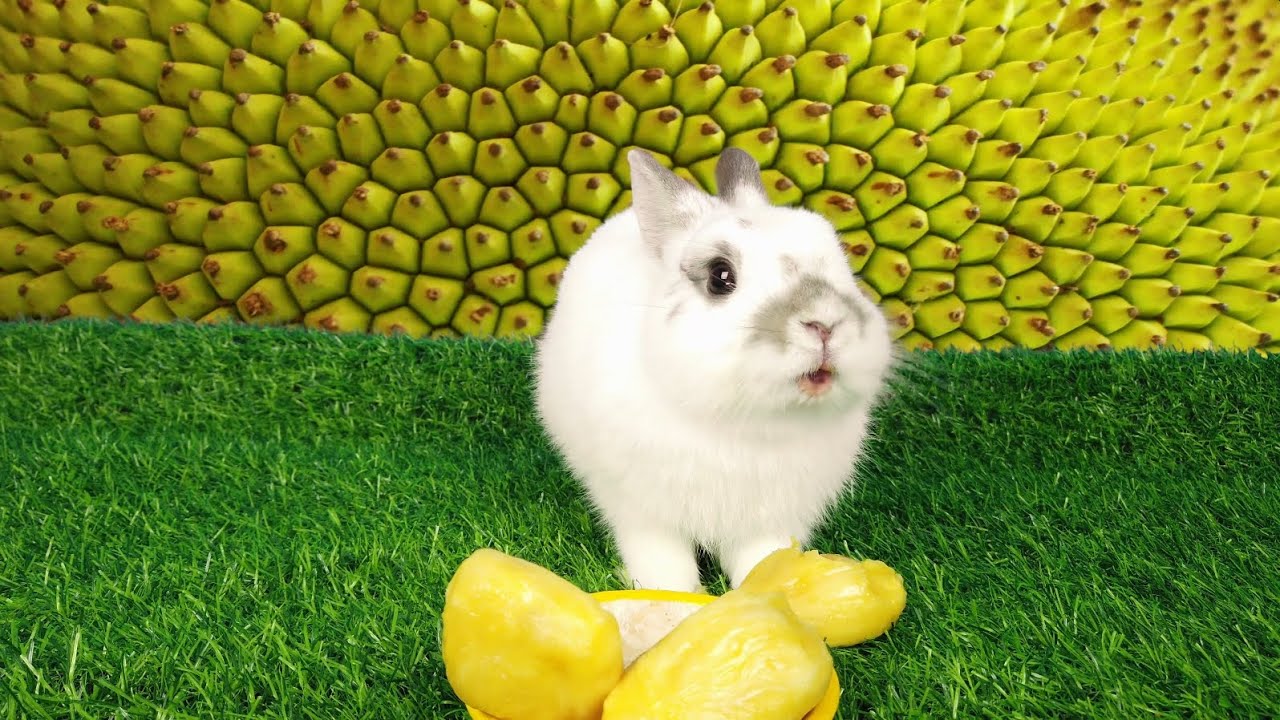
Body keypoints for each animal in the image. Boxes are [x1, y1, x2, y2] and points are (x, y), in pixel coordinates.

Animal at [532, 147, 899, 593]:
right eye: (720, 277)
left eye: (843, 266)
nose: (826, 322)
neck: (746, 426)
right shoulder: (643, 513)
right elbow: (665, 566)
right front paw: (671, 598)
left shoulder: (771, 521)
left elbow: (762, 563)